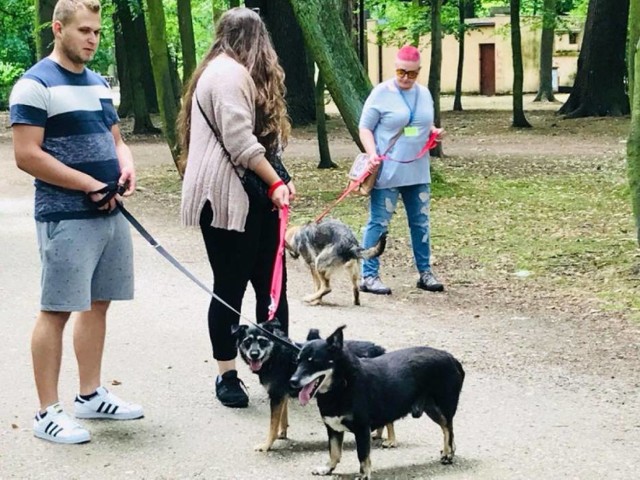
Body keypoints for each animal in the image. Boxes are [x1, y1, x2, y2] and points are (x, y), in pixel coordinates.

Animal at [232, 320, 388, 452]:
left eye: (262, 341)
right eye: (247, 342)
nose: (254, 354)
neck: (275, 355)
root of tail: (379, 349)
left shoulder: (276, 395)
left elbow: (272, 425)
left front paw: (267, 445)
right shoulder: (282, 396)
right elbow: (282, 417)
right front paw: (282, 433)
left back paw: (389, 441)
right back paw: (379, 435)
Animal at [290, 324, 464, 478]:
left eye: (314, 361)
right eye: (297, 361)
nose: (292, 381)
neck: (342, 384)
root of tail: (451, 358)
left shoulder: (362, 429)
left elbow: (362, 456)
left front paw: (364, 474)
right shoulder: (333, 428)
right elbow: (334, 452)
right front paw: (327, 469)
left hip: (443, 407)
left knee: (449, 429)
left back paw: (448, 453)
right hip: (432, 409)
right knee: (448, 430)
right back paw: (450, 450)